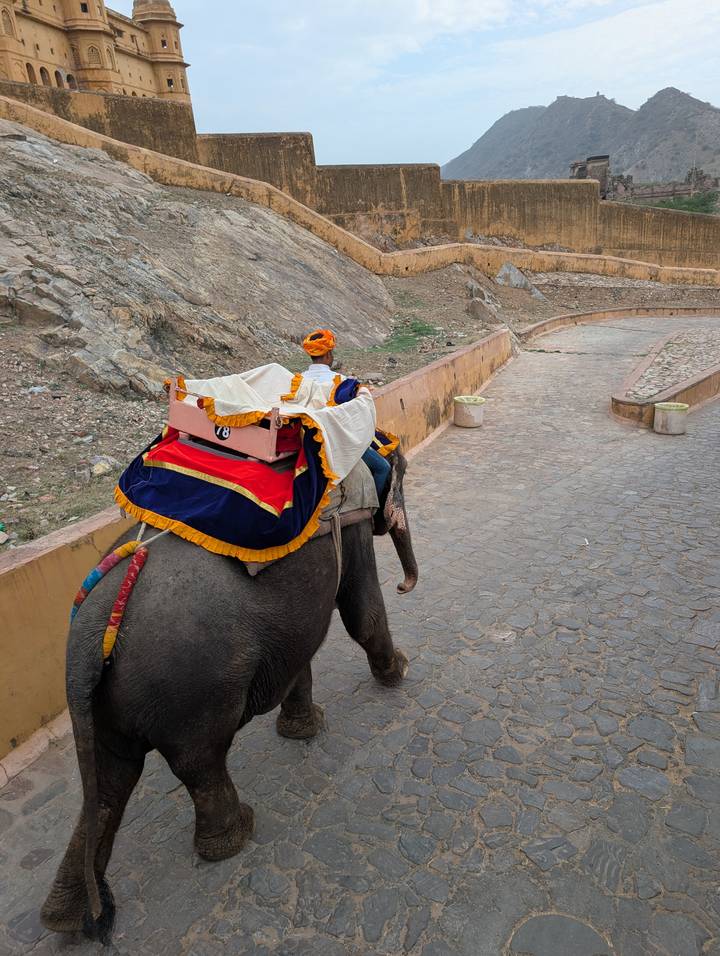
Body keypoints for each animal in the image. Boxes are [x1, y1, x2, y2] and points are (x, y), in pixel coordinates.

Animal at [40, 450, 418, 943]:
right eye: (402, 475)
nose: (405, 586)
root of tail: (97, 621)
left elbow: (301, 649)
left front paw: (304, 728)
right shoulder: (352, 528)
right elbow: (361, 611)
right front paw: (401, 671)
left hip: (102, 702)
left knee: (108, 782)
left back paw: (65, 917)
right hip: (192, 689)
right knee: (199, 762)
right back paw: (236, 834)